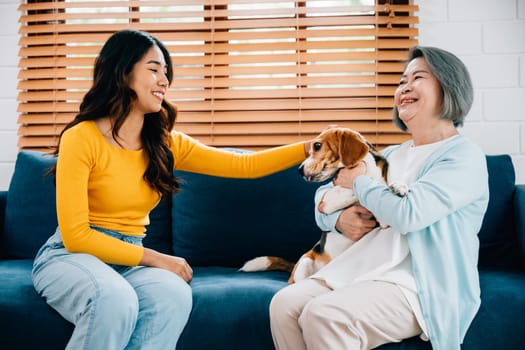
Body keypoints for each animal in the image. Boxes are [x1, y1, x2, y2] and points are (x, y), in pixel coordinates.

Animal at [239, 127, 408, 284]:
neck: (366, 166)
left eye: (317, 146)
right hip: (305, 262)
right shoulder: (327, 201)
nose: (299, 170)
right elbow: (355, 188)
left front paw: (399, 186)